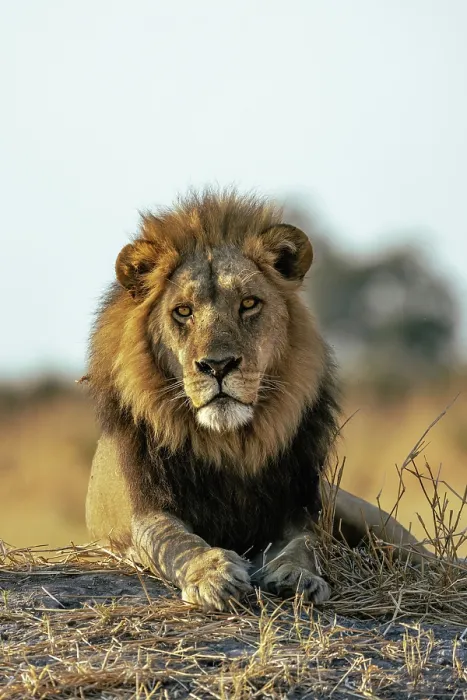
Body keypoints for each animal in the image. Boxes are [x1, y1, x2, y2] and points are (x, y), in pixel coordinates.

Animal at [85, 189, 430, 611]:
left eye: (249, 304)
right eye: (182, 311)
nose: (218, 366)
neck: (230, 443)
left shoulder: (295, 509)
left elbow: (305, 545)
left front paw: (298, 576)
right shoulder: (144, 510)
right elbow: (175, 541)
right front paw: (213, 574)